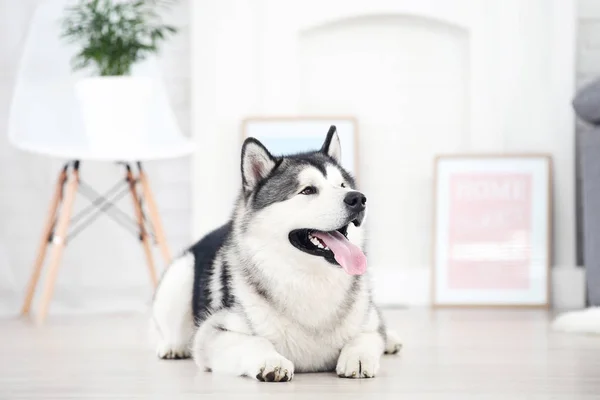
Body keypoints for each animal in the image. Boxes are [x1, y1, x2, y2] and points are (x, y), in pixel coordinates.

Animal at [151, 125, 404, 382]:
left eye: (343, 185)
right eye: (308, 190)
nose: (358, 198)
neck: (310, 281)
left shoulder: (367, 323)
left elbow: (366, 336)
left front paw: (358, 355)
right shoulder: (214, 333)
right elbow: (254, 342)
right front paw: (271, 360)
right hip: (179, 279)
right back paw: (172, 346)